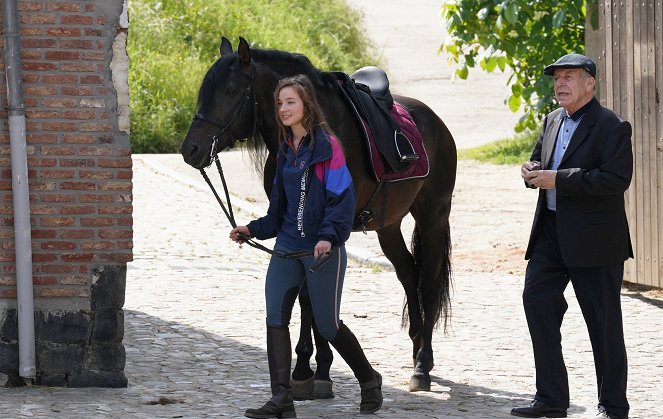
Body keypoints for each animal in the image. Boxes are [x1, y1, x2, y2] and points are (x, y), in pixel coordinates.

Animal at [182, 37, 456, 392]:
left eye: (230, 90)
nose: (190, 150)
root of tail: (435, 122)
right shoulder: (292, 227)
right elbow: (304, 294)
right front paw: (313, 367)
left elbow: (317, 293)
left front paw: (314, 368)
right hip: (388, 226)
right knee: (409, 274)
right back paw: (415, 349)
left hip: (433, 216)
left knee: (430, 283)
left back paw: (422, 365)